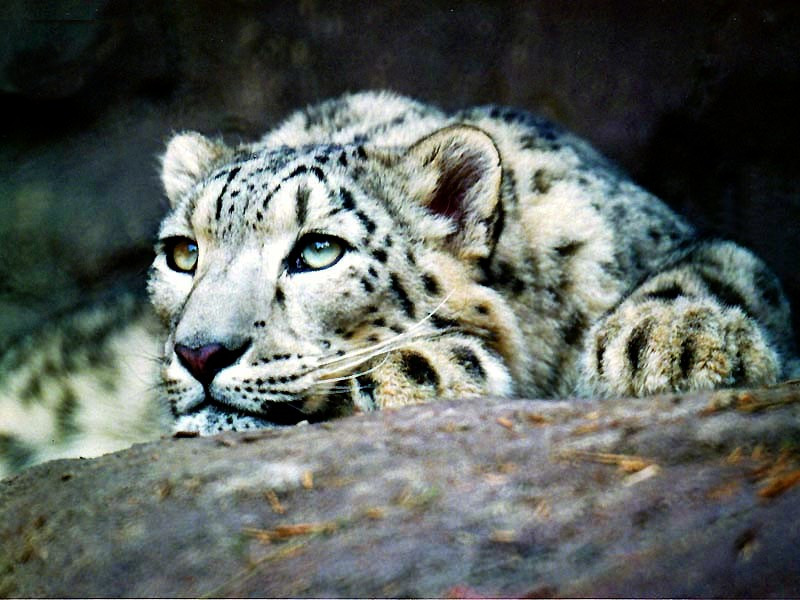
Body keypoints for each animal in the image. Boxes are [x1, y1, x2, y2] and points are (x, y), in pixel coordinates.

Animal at [1, 90, 796, 478]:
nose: (200, 353)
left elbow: (726, 262)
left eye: (319, 250)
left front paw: (673, 346)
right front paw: (428, 365)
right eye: (183, 253)